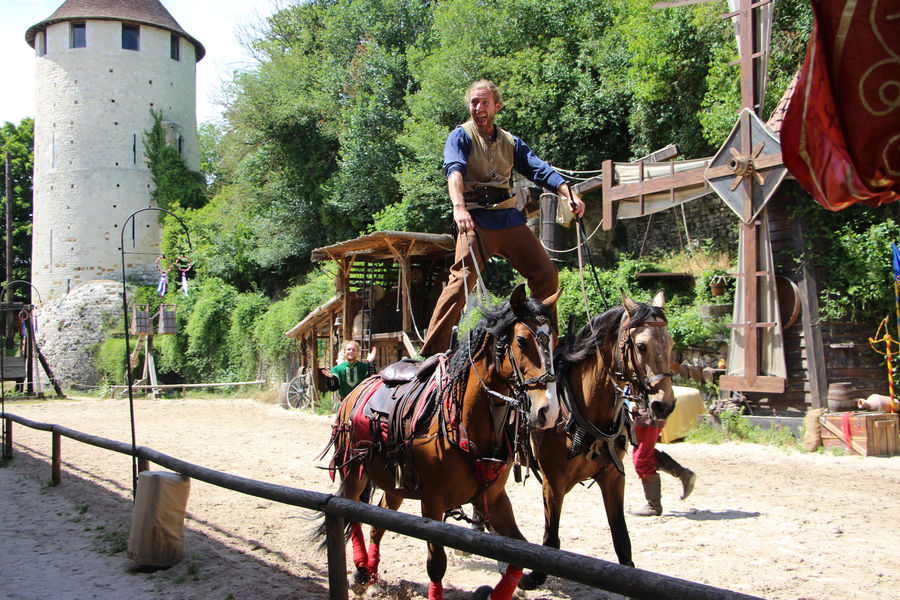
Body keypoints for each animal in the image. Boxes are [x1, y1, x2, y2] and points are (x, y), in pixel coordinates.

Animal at [324, 284, 560, 600]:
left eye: (554, 338)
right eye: (522, 340)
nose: (549, 410)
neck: (467, 422)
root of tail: (356, 390)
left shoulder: (495, 500)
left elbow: (518, 555)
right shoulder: (433, 503)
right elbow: (436, 564)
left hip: (394, 484)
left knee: (378, 524)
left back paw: (371, 574)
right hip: (353, 471)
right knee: (352, 513)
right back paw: (361, 571)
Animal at [516, 290, 672, 592]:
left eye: (670, 344)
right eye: (641, 346)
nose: (664, 404)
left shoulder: (613, 477)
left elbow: (621, 538)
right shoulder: (553, 484)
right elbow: (551, 537)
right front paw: (536, 575)